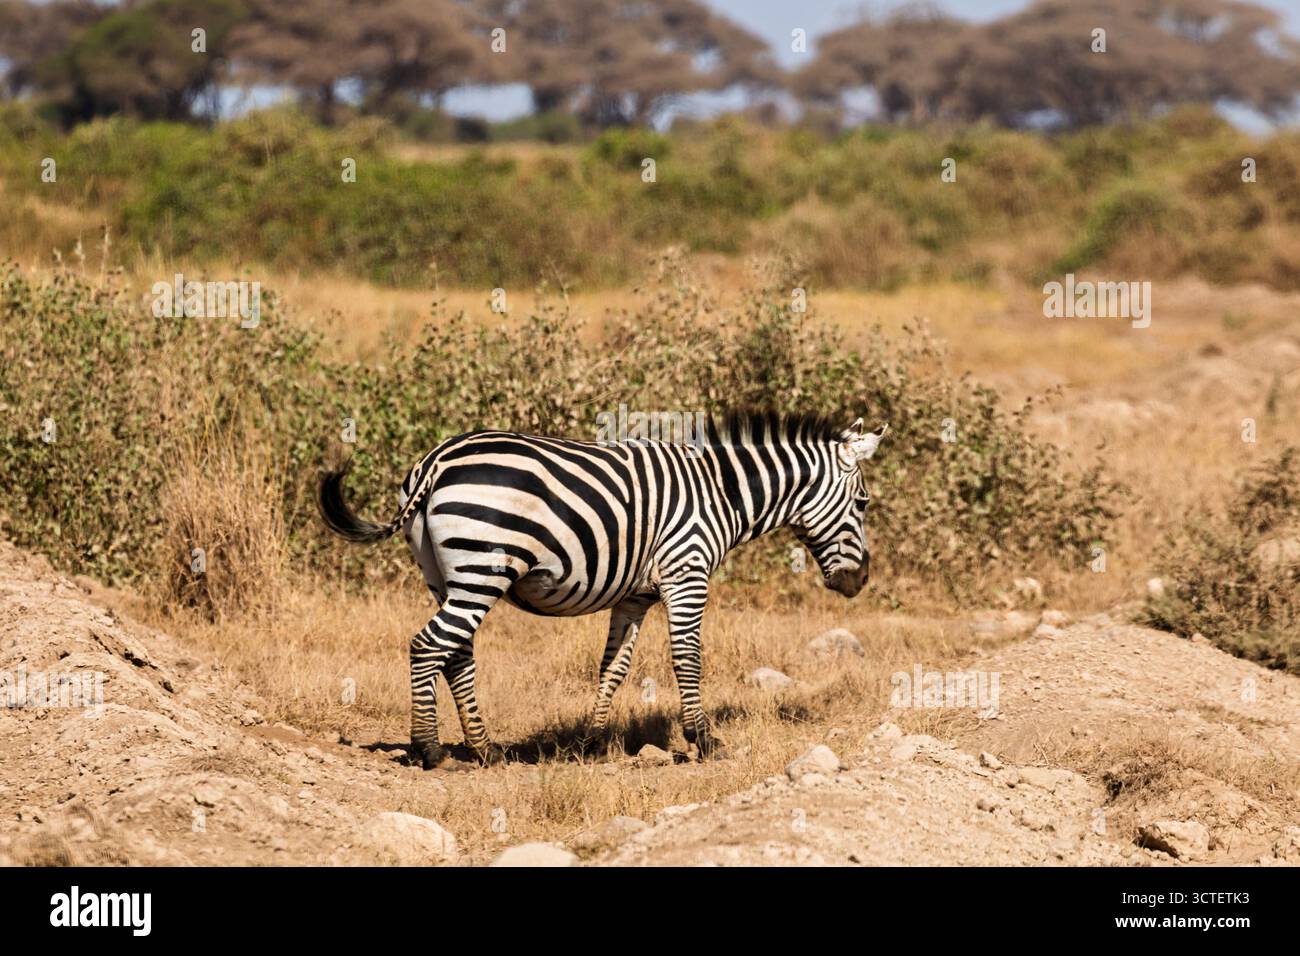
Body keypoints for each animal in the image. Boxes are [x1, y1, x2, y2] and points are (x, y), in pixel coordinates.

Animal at [318, 411, 888, 769]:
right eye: (863, 503)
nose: (859, 582)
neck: (720, 494)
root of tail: (436, 459)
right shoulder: (687, 574)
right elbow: (688, 659)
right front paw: (705, 741)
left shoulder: (636, 595)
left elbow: (613, 667)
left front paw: (591, 743)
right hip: (482, 569)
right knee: (428, 645)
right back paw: (430, 751)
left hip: (445, 576)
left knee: (456, 652)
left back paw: (483, 749)